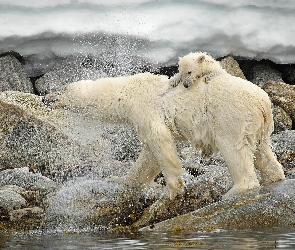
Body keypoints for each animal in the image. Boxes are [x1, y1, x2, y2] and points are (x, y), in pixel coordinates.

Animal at [45, 51, 284, 200]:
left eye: (62, 90)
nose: (46, 98)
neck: (126, 91)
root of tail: (263, 102)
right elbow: (148, 157)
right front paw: (121, 179)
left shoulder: (145, 109)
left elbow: (160, 144)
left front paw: (172, 191)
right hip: (257, 125)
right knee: (262, 151)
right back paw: (274, 177)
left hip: (230, 116)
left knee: (234, 150)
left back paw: (234, 191)